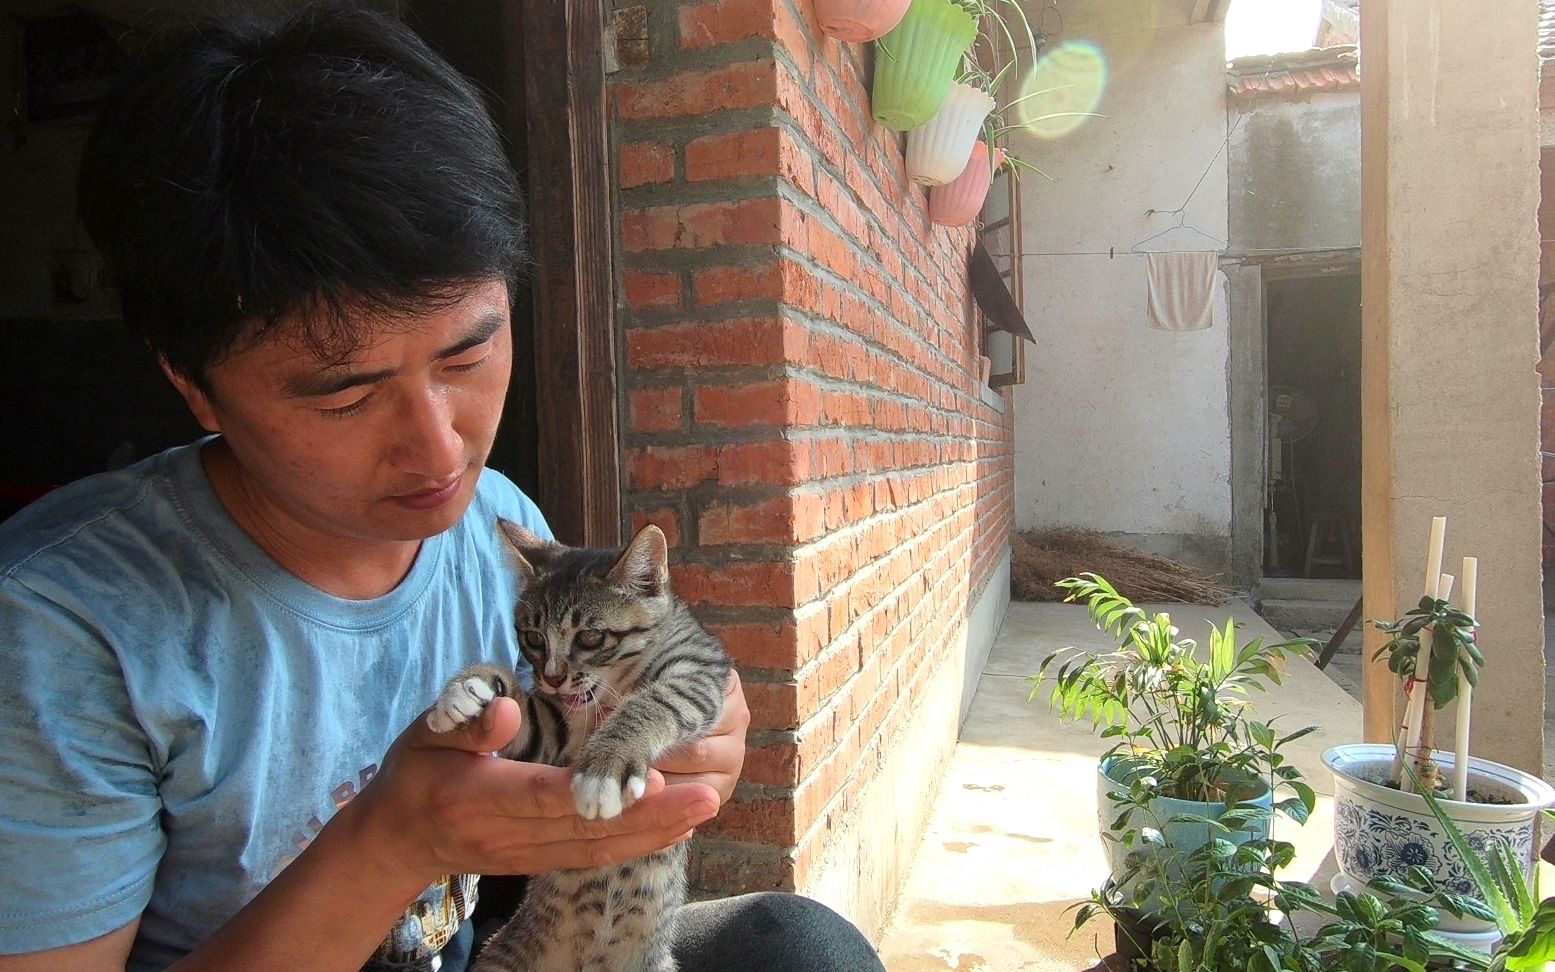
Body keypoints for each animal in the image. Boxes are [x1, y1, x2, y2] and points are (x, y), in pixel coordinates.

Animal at [429, 519, 730, 970]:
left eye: (589, 636)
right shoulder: (554, 731)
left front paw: (606, 767)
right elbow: (525, 717)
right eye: (533, 636)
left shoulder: (699, 673)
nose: (552, 678)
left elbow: (657, 700)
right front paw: (469, 687)